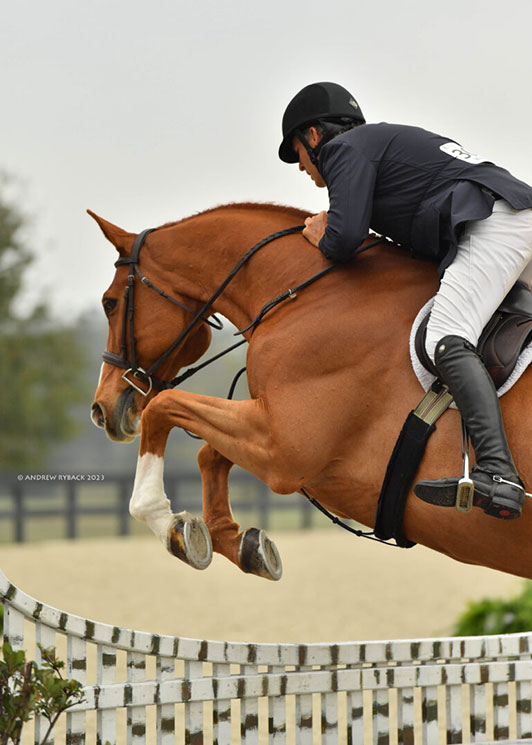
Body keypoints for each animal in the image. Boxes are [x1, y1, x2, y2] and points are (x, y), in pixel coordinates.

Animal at [89, 202, 532, 580]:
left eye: (110, 303)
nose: (101, 410)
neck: (304, 293)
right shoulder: (270, 427)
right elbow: (207, 452)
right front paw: (239, 543)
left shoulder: (283, 450)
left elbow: (164, 407)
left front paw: (167, 522)